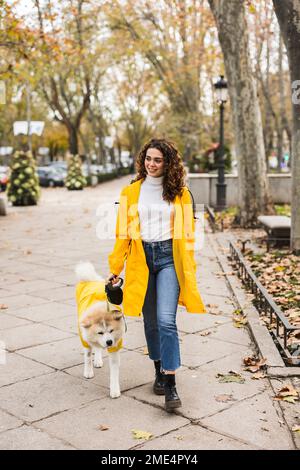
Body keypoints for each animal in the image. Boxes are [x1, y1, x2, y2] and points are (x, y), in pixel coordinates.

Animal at [75, 262, 126, 398]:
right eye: (100, 332)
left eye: (112, 331)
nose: (109, 342)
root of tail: (91, 280)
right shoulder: (85, 339)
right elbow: (87, 357)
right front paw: (88, 372)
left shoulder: (115, 346)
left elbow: (114, 371)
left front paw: (114, 389)